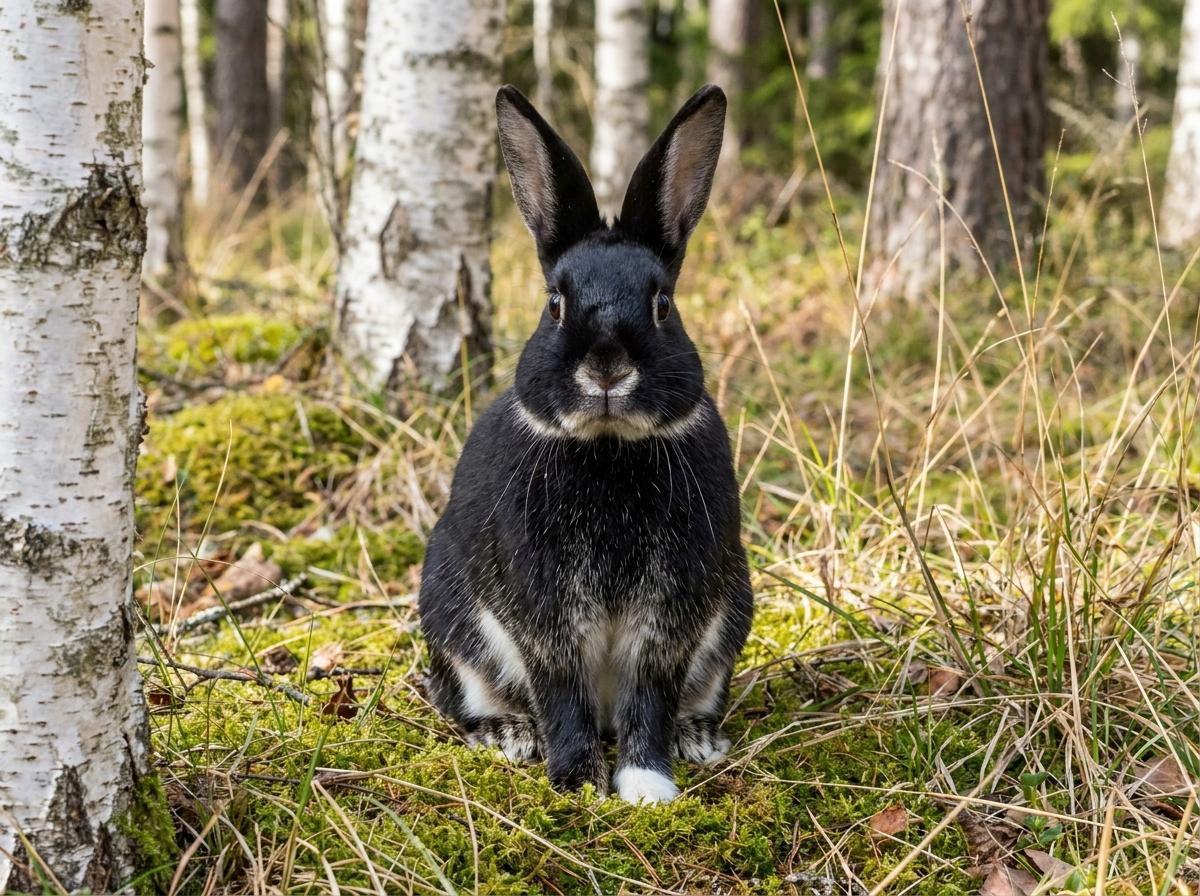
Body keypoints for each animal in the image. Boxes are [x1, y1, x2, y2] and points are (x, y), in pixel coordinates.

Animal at [417, 83, 752, 804]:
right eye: (554, 304)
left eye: (662, 304)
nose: (605, 366)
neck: (608, 447)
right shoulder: (542, 605)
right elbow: (559, 687)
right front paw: (575, 781)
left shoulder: (672, 611)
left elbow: (651, 691)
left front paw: (648, 784)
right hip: (452, 625)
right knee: (470, 699)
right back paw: (509, 736)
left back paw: (698, 739)